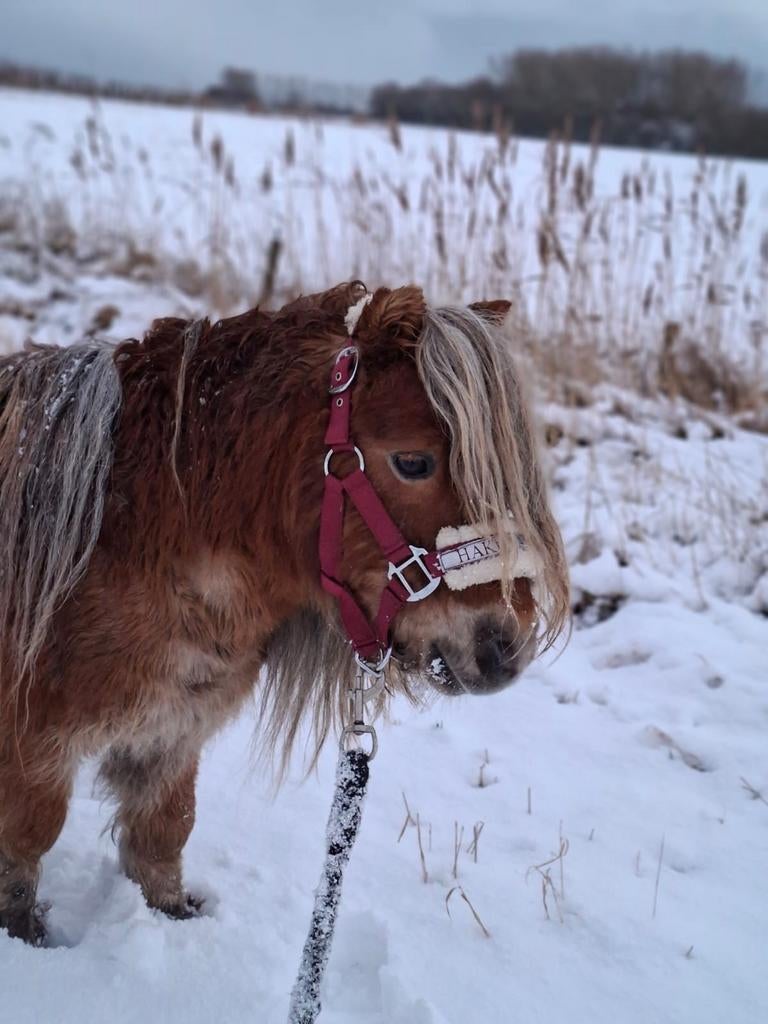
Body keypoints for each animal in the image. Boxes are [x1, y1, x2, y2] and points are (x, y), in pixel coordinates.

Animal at [0, 280, 568, 945]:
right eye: (413, 462)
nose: (506, 647)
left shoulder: (173, 731)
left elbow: (163, 838)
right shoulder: (33, 743)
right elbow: (26, 843)